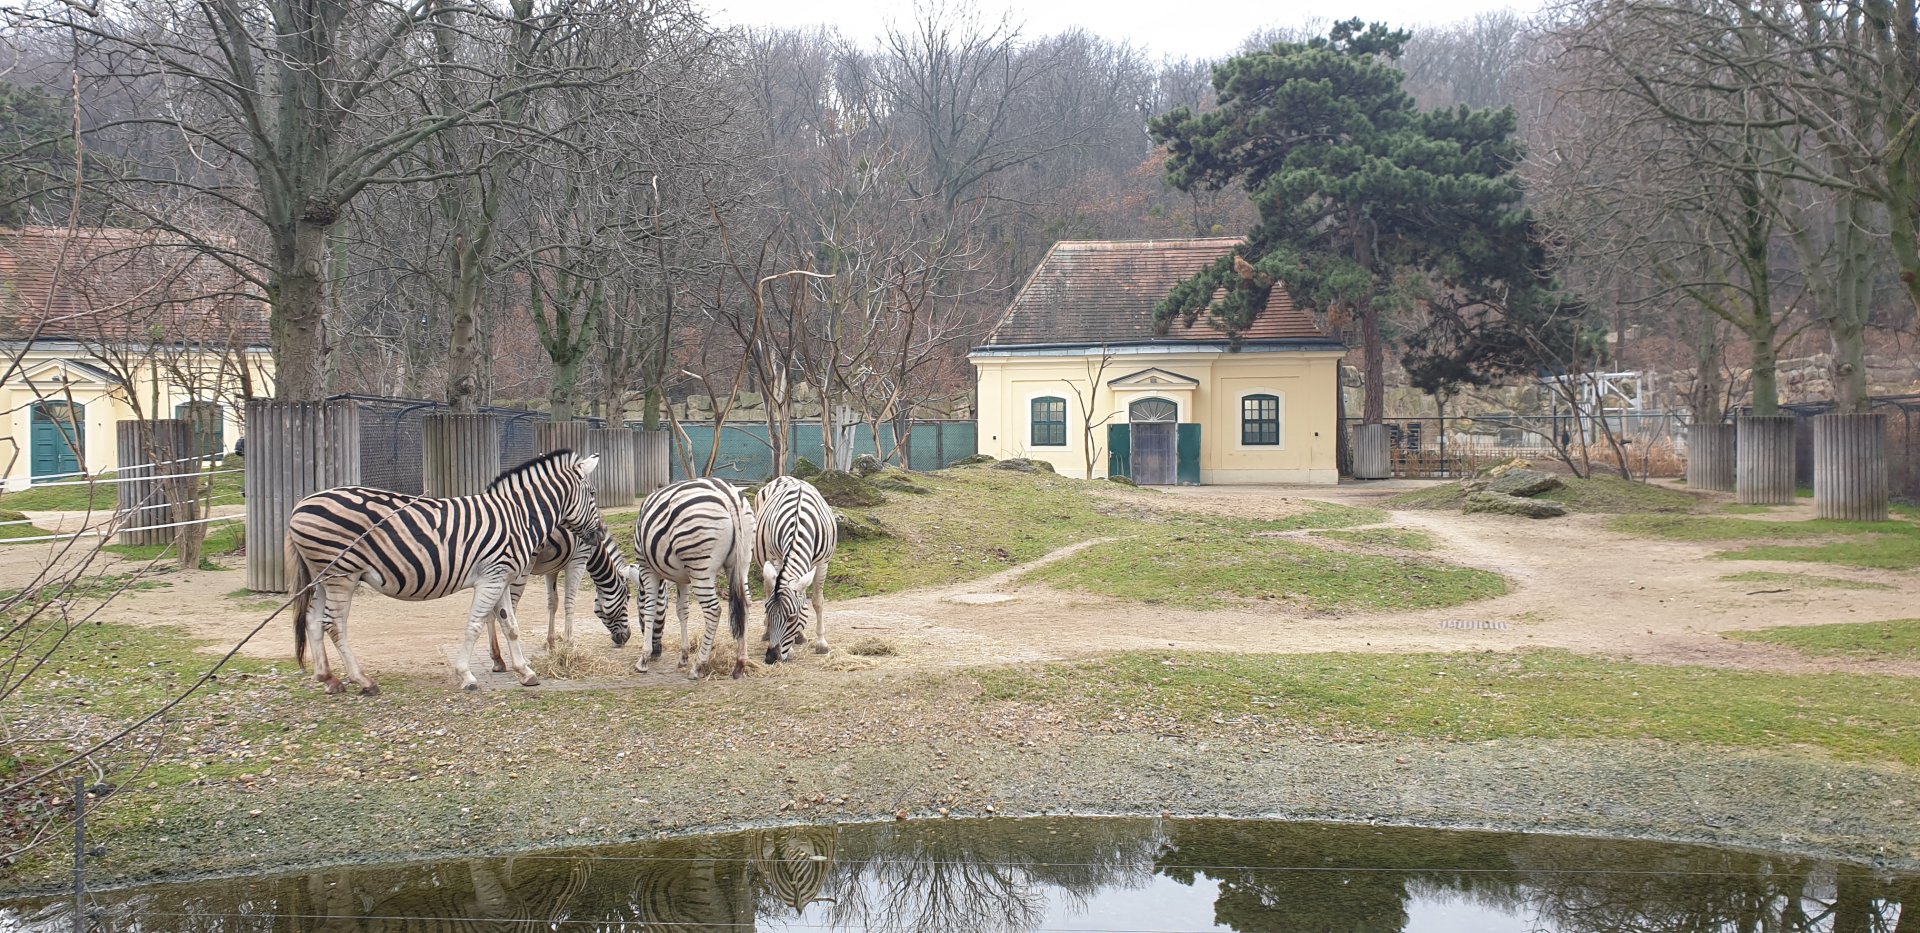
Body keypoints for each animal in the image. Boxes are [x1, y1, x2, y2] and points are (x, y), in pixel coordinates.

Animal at [286, 450, 604, 693]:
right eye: (592, 493)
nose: (600, 534)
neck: (518, 517)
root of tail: (300, 504)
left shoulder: (502, 577)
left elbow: (510, 625)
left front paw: (525, 672)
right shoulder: (492, 577)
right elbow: (475, 624)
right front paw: (466, 675)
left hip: (322, 576)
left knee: (313, 619)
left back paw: (328, 678)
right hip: (342, 575)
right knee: (334, 624)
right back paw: (363, 680)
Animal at [484, 528, 632, 674]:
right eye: (627, 598)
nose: (627, 636)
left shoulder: (552, 569)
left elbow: (553, 603)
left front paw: (552, 645)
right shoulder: (579, 560)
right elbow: (570, 602)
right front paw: (569, 644)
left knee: (491, 612)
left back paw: (498, 659)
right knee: (510, 610)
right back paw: (522, 660)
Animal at [625, 477, 755, 680]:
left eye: (638, 614)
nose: (657, 653)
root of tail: (729, 496)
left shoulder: (647, 568)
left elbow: (650, 608)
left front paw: (643, 659)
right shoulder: (682, 577)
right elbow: (682, 611)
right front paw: (683, 656)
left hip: (699, 565)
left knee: (713, 610)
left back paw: (698, 666)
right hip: (742, 562)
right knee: (746, 603)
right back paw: (739, 664)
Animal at [754, 475, 837, 664]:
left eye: (792, 617)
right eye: (768, 611)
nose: (771, 657)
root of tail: (783, 477)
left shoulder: (823, 563)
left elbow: (817, 601)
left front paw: (821, 643)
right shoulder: (778, 559)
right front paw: (789, 648)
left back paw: (800, 636)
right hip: (765, 560)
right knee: (767, 588)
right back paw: (766, 633)